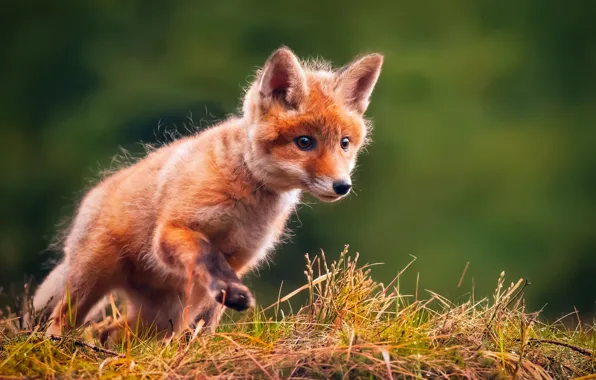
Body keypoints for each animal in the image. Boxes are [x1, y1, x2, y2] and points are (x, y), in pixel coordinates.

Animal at [32, 46, 384, 342]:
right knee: (63, 320)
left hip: (157, 318)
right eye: (305, 142)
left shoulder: (240, 257)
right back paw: (56, 344)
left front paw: (195, 347)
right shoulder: (173, 231)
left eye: (344, 143)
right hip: (92, 279)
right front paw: (230, 293)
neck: (247, 202)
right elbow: (207, 254)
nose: (342, 186)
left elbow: (205, 316)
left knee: (111, 332)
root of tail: (93, 196)